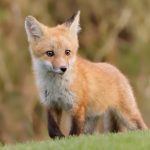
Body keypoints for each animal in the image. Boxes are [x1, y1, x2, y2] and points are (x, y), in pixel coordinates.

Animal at [24, 11, 148, 139]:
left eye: (67, 52)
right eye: (50, 53)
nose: (63, 68)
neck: (56, 87)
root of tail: (115, 68)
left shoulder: (77, 106)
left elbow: (75, 132)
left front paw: (70, 140)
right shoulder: (51, 104)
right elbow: (52, 131)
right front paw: (60, 138)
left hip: (128, 116)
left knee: (143, 128)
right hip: (91, 121)